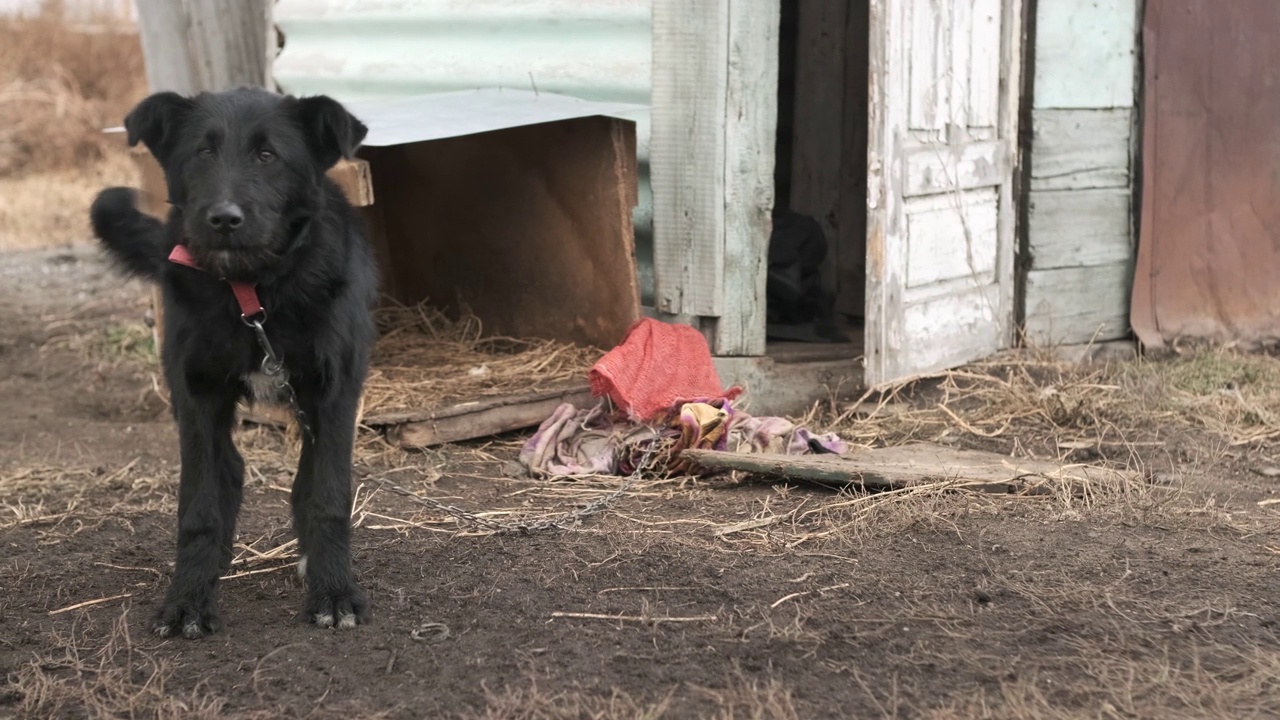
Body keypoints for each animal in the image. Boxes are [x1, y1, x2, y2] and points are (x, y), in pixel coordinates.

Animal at [89, 88, 376, 632]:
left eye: (268, 155)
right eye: (202, 152)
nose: (223, 218)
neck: (252, 292)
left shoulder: (333, 395)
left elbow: (327, 496)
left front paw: (333, 591)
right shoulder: (197, 396)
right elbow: (199, 507)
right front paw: (189, 597)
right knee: (230, 469)